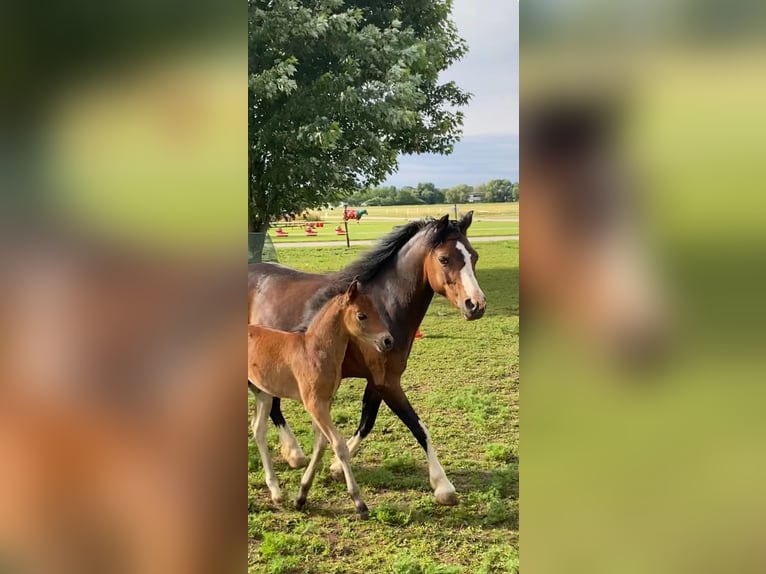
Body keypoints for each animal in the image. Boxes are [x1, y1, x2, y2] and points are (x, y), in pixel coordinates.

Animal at [248, 279, 393, 518]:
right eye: (362, 315)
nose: (387, 340)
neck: (314, 350)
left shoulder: (324, 403)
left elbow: (321, 444)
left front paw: (301, 496)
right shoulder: (314, 404)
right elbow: (339, 445)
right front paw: (359, 503)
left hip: (263, 393)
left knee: (259, 429)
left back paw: (276, 492)